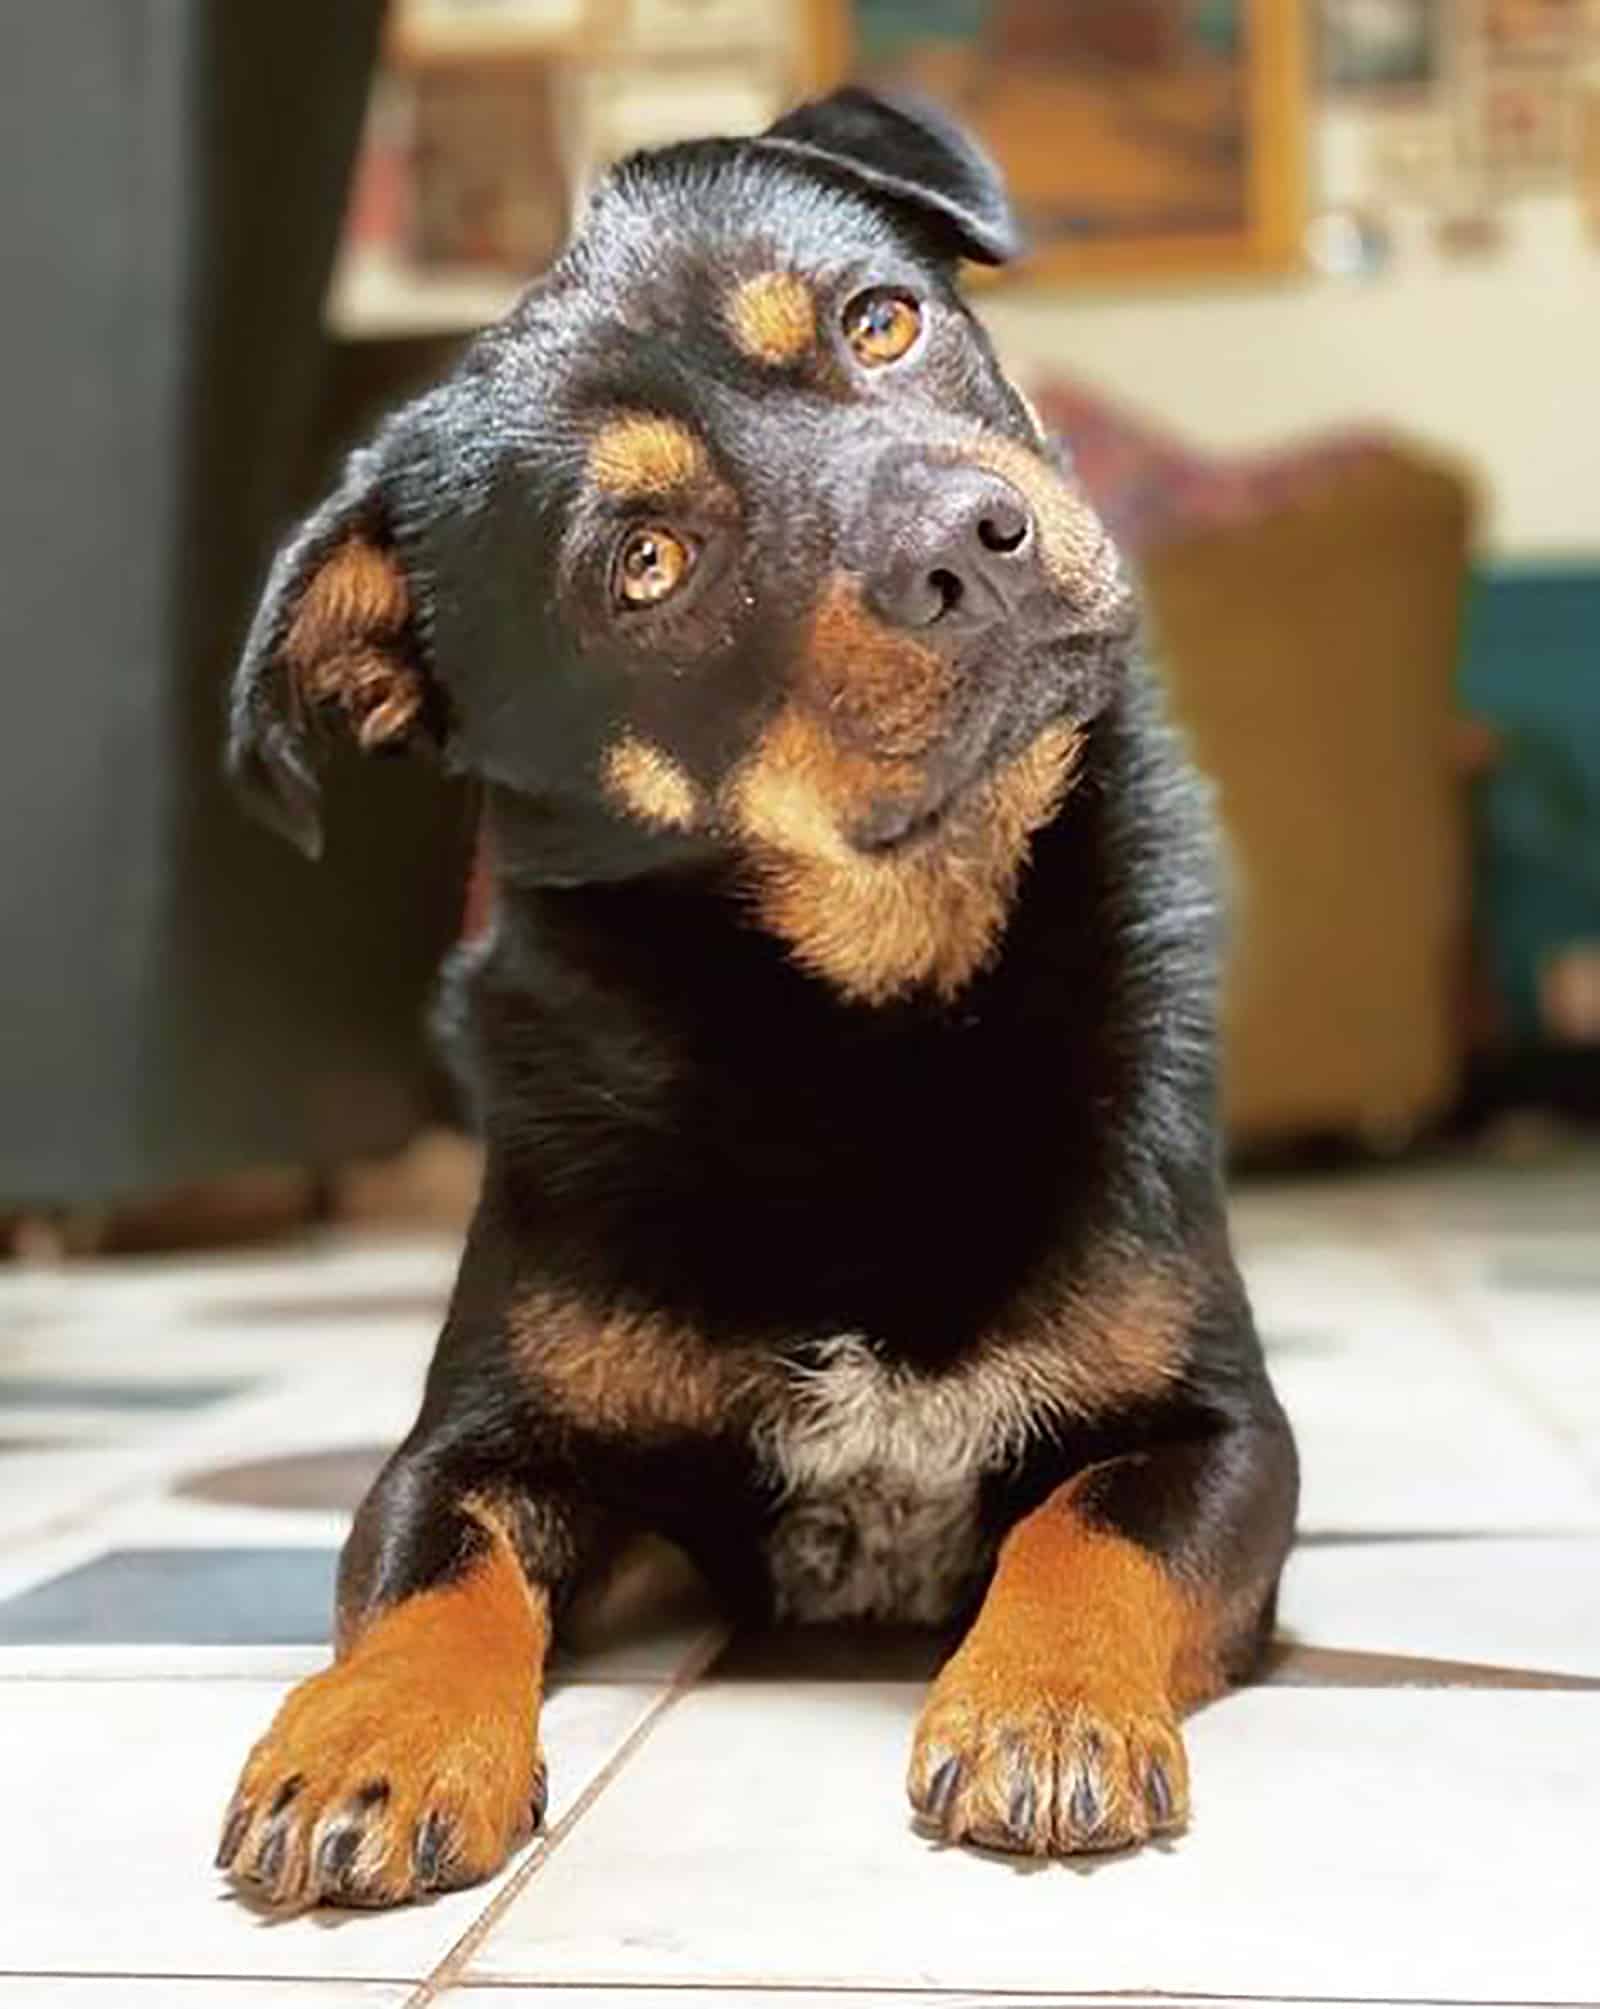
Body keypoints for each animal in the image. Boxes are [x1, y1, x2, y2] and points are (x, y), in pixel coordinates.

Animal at [212, 90, 1294, 1912]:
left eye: (884, 321)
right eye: (646, 563)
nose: (968, 541)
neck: (862, 1023)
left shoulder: (1221, 1426)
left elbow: (1091, 1522)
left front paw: (1045, 1700)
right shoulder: (483, 1436)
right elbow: (435, 1564)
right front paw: (376, 1732)